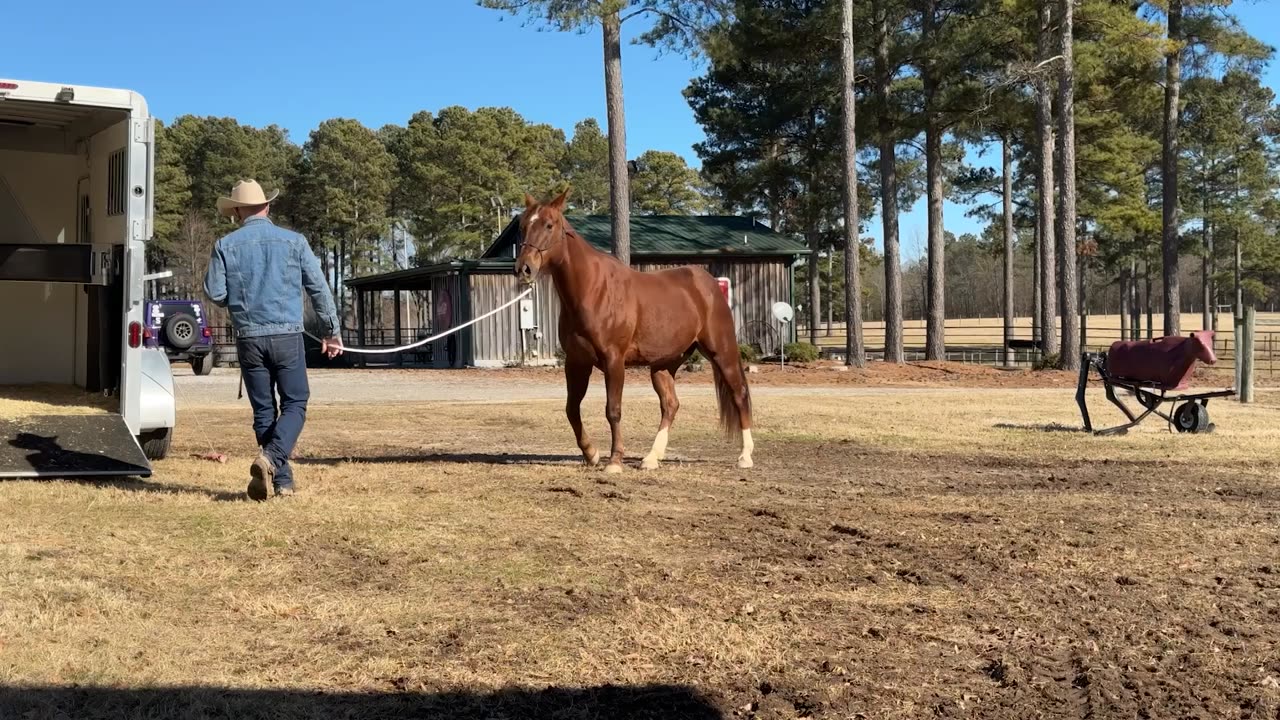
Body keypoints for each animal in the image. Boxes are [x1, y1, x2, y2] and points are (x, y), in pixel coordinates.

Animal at [509, 188, 747, 471]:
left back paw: (746, 456)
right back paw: (651, 458)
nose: (523, 269)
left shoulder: (614, 360)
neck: (592, 289)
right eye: (523, 226)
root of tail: (709, 284)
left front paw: (614, 461)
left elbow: (613, 410)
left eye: (549, 225)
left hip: (721, 352)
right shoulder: (576, 361)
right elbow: (572, 408)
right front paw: (591, 454)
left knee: (739, 394)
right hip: (664, 364)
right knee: (670, 405)